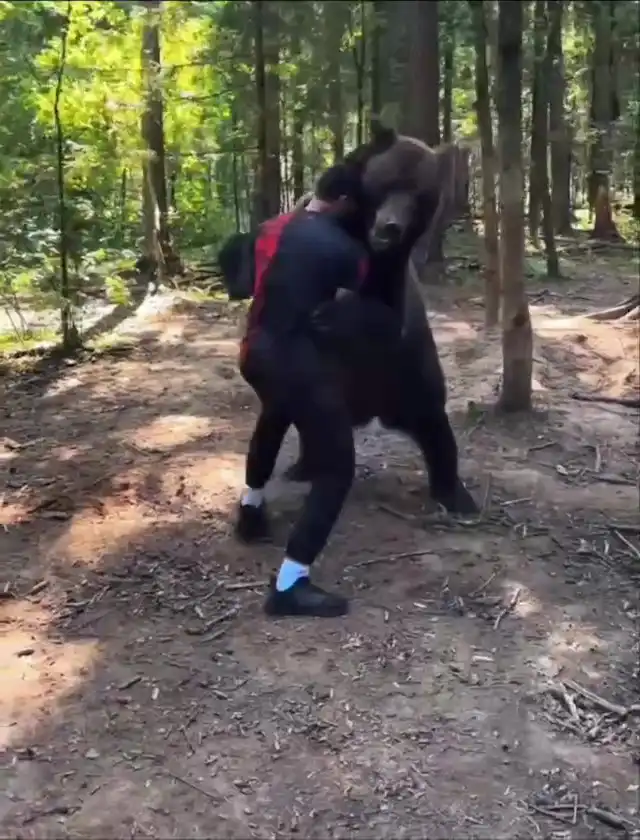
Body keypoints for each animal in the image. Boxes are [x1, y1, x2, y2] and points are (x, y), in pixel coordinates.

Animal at [217, 124, 478, 515]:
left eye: (420, 195)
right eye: (389, 181)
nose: (391, 226)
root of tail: (372, 408)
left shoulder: (392, 276)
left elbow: (383, 315)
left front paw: (329, 313)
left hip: (406, 371)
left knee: (433, 419)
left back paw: (456, 493)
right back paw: (304, 465)